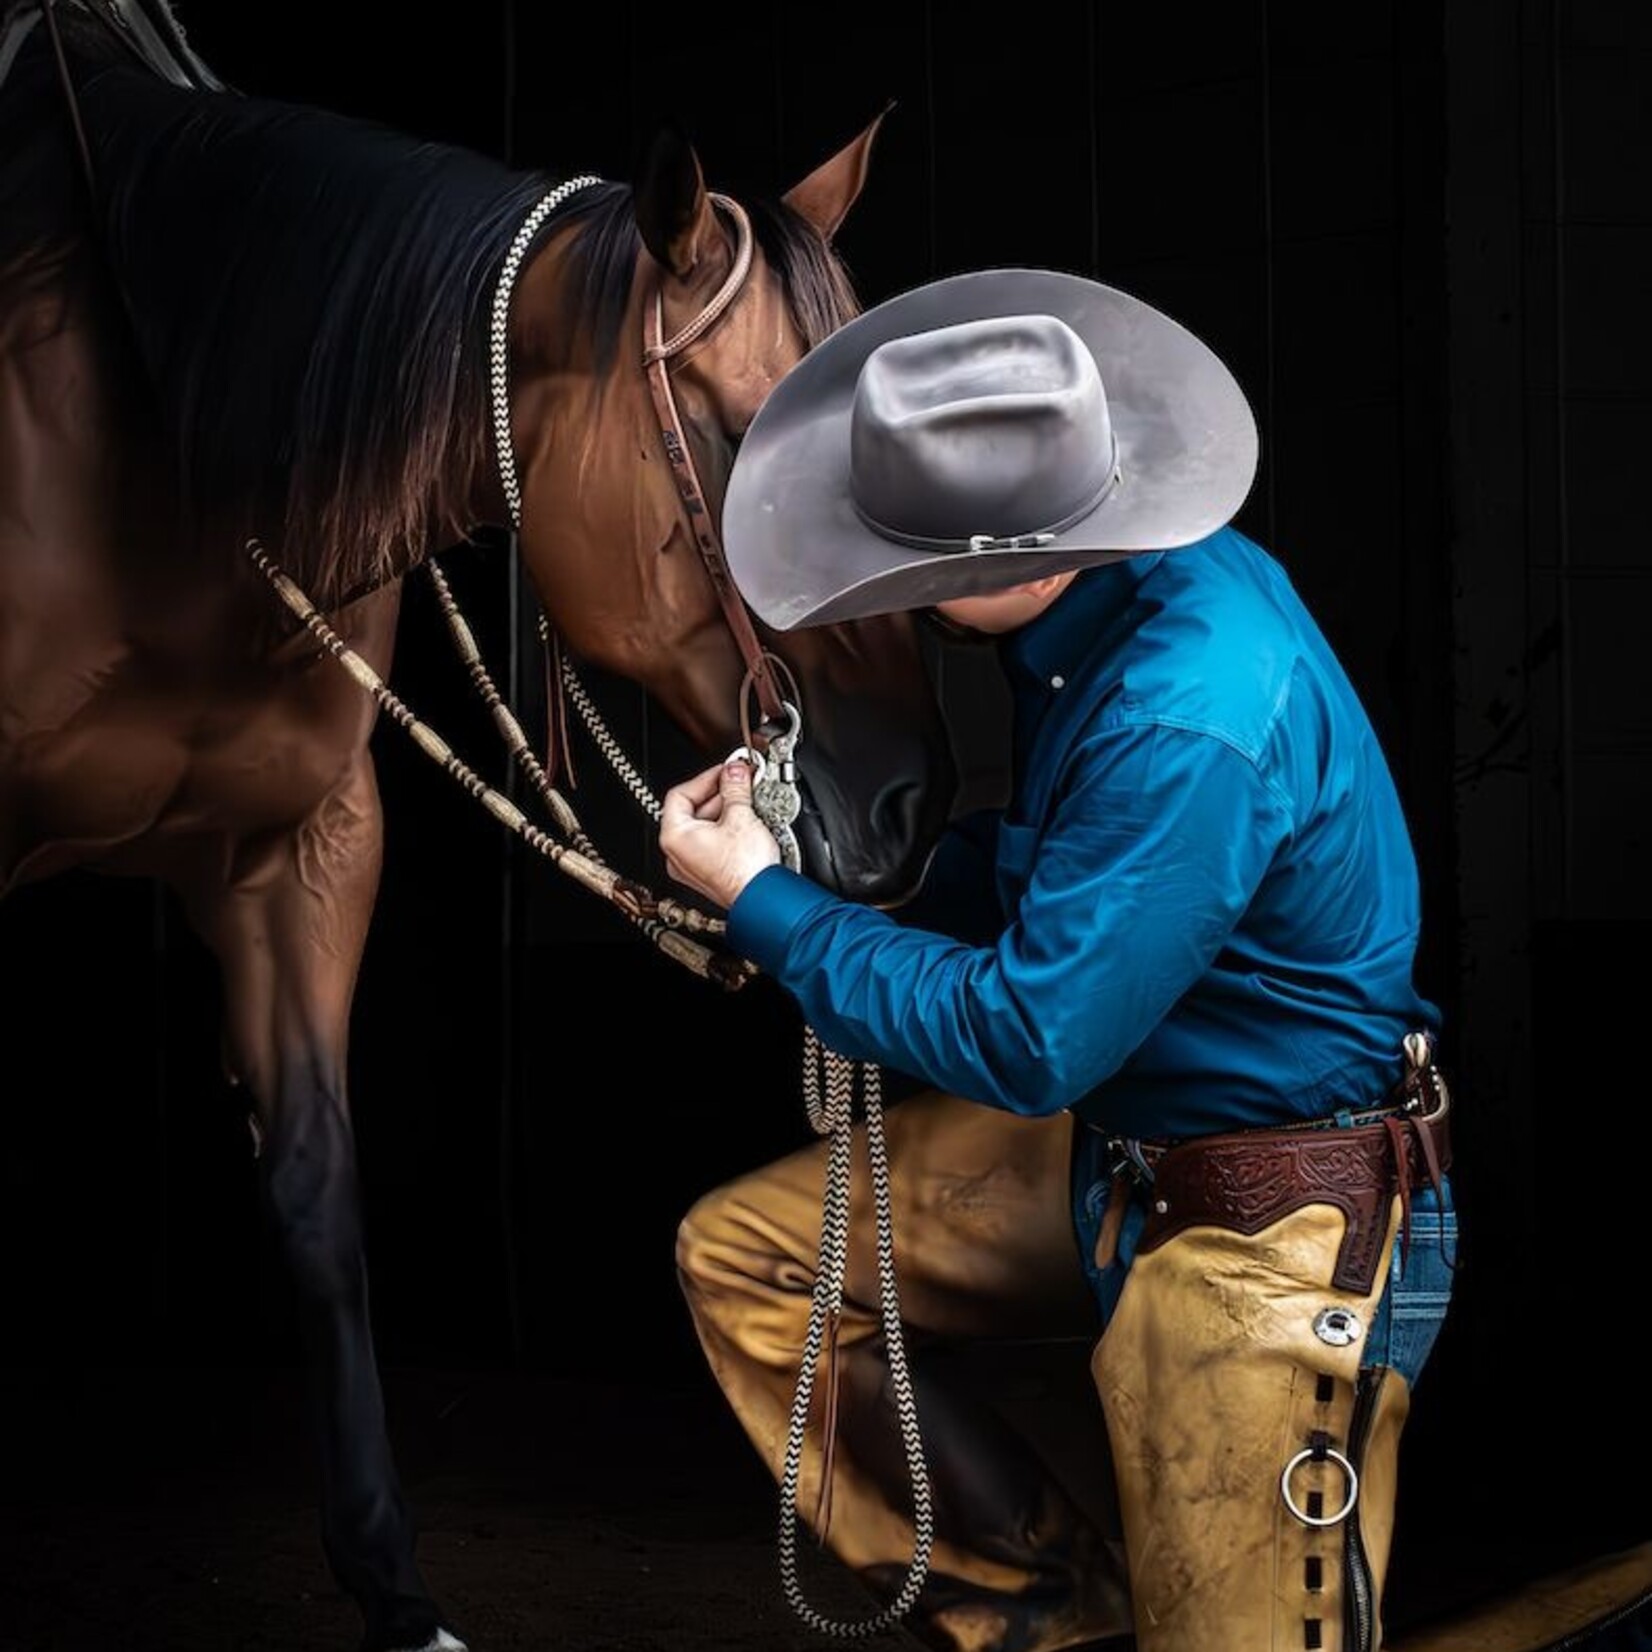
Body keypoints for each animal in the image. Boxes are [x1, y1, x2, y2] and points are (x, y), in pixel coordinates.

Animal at [0, 6, 958, 1645]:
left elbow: (317, 1186)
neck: (163, 422)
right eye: (744, 453)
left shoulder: (301, 854)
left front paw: (393, 1586)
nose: (909, 809)